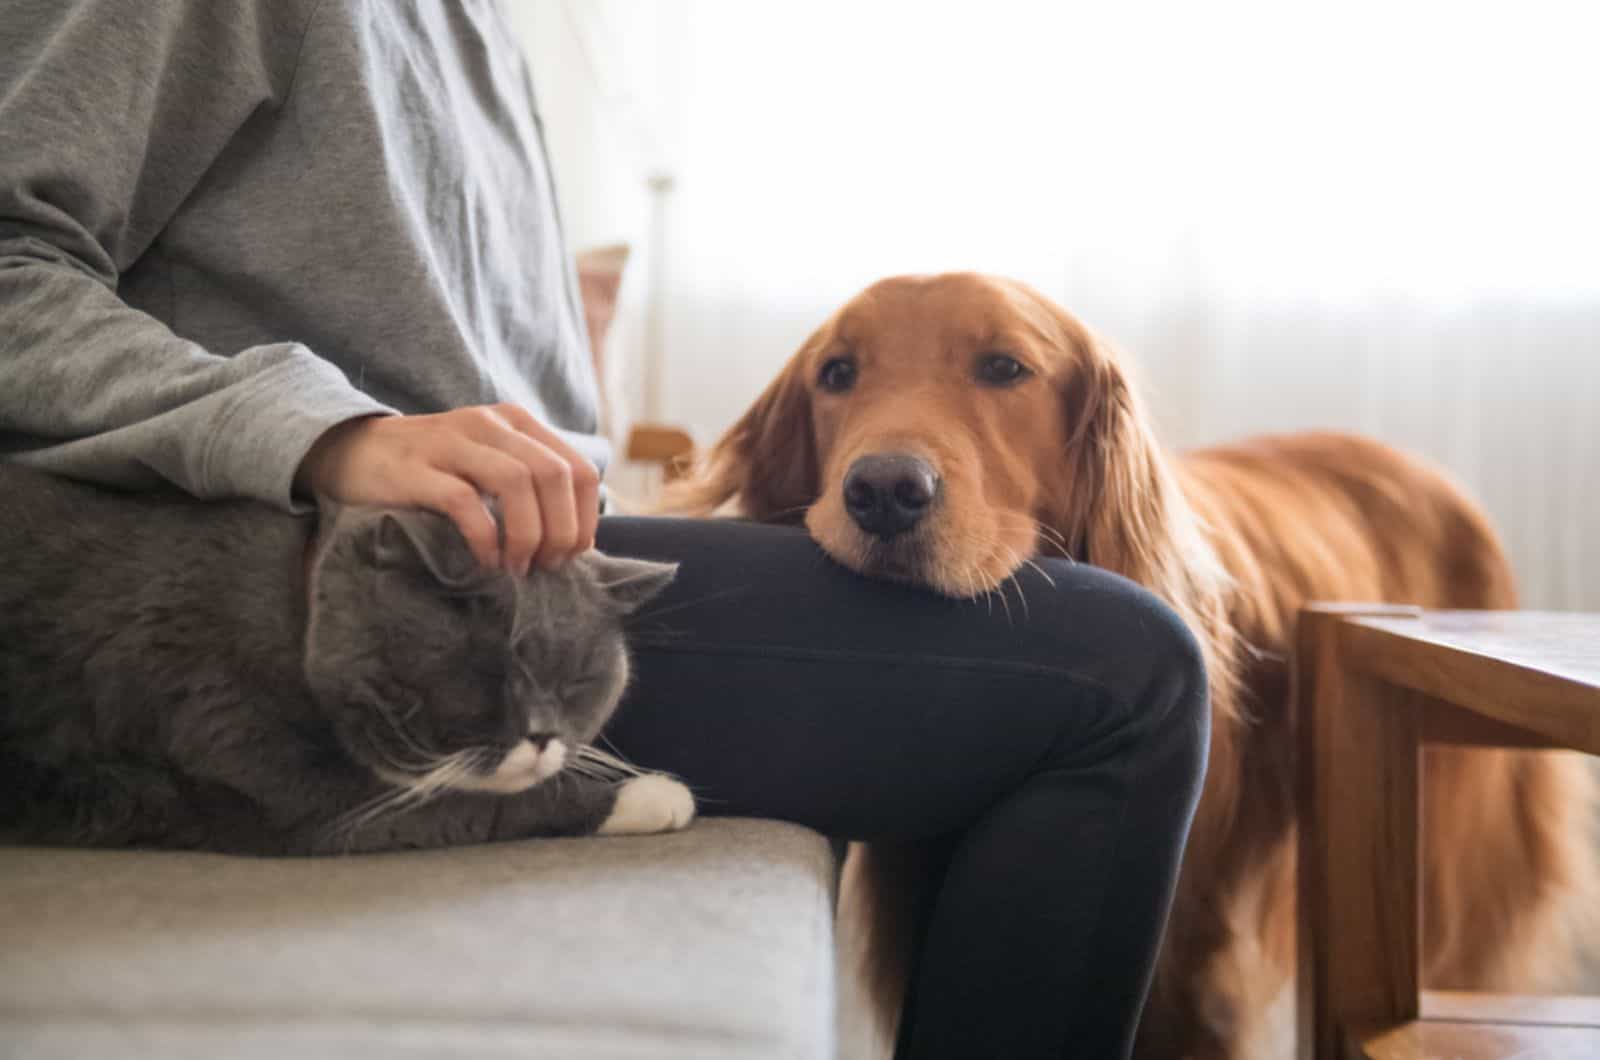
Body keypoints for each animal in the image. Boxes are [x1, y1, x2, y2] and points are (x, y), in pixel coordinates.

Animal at [3, 464, 697, 858]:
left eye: (577, 680)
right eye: (491, 674)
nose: (543, 736)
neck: (294, 610)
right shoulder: (292, 789)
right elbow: (485, 804)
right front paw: (653, 795)